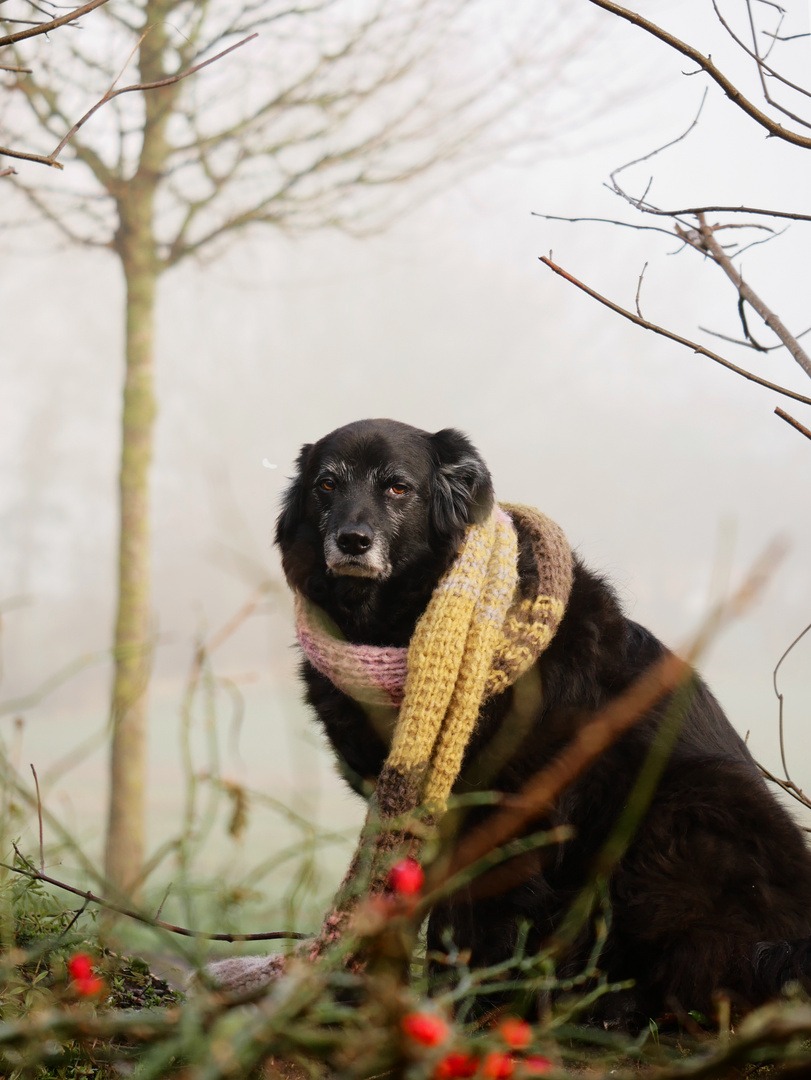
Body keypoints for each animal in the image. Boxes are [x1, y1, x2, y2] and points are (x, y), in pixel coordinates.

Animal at [276, 416, 811, 1023]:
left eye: (396, 487)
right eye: (326, 484)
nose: (352, 540)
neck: (395, 625)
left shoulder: (511, 805)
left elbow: (475, 921)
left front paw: (463, 1007)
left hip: (686, 802)